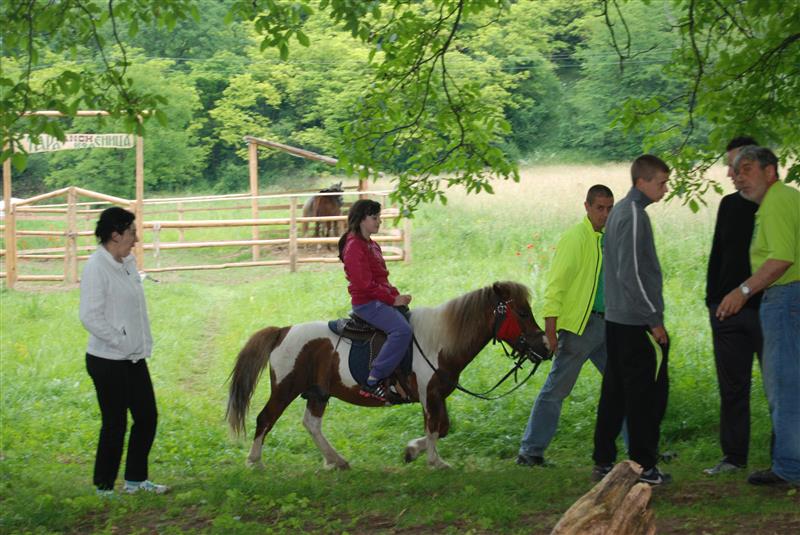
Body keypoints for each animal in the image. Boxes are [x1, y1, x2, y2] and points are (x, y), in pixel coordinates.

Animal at [227, 282, 552, 472]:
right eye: (523, 313)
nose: (545, 347)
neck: (440, 341)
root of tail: (283, 331)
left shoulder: (438, 394)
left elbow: (443, 428)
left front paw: (412, 452)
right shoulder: (429, 395)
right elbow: (433, 427)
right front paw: (435, 461)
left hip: (318, 392)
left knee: (312, 425)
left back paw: (335, 460)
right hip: (285, 388)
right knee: (265, 419)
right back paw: (254, 462)